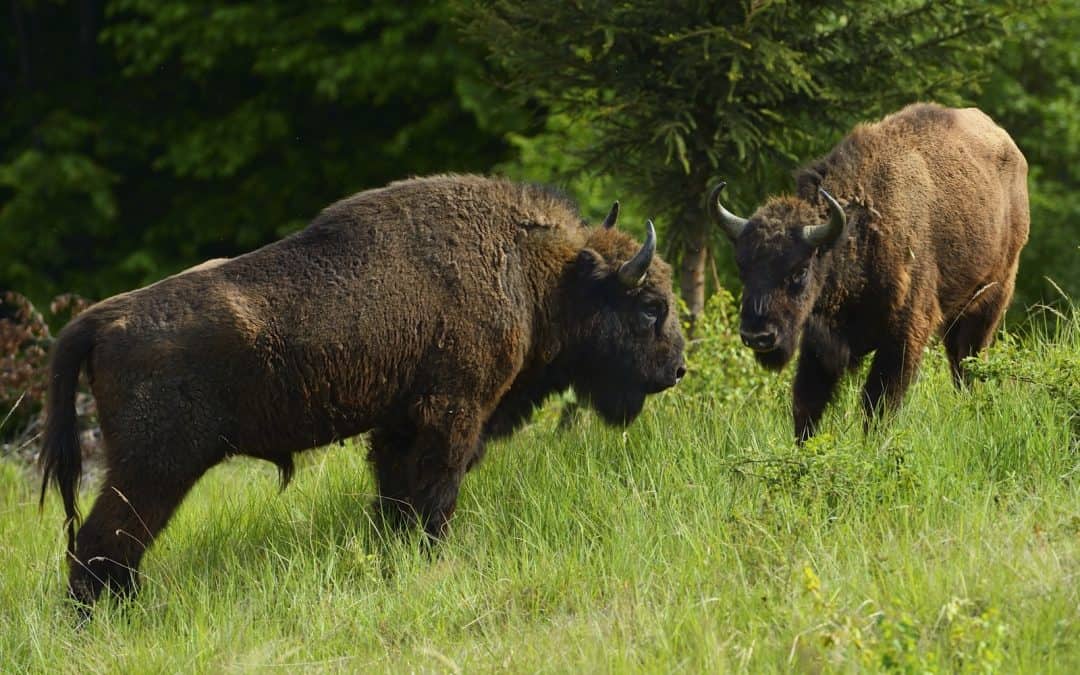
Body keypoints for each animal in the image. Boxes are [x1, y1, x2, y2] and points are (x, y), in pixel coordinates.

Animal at [42, 173, 686, 604]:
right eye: (650, 307)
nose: (677, 369)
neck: (535, 275)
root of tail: (101, 319)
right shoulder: (453, 415)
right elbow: (433, 498)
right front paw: (430, 561)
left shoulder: (398, 426)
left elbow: (395, 502)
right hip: (153, 467)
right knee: (101, 544)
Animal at [708, 102, 1028, 442]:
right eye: (743, 266)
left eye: (800, 271)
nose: (758, 336)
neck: (855, 232)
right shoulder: (819, 340)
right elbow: (807, 401)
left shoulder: (904, 334)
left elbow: (878, 403)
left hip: (990, 300)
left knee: (967, 361)